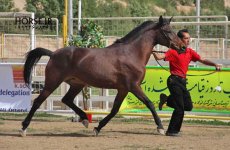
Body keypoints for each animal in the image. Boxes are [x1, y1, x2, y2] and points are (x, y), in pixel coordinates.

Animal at [20, 15, 185, 137]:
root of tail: (53, 54)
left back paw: (85, 119)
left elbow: (114, 110)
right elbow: (149, 103)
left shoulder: (123, 89)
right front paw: (160, 128)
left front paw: (97, 128)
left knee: (66, 99)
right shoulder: (133, 86)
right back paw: (23, 128)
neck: (131, 53)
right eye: (167, 31)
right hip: (52, 83)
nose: (183, 47)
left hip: (77, 84)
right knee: (38, 102)